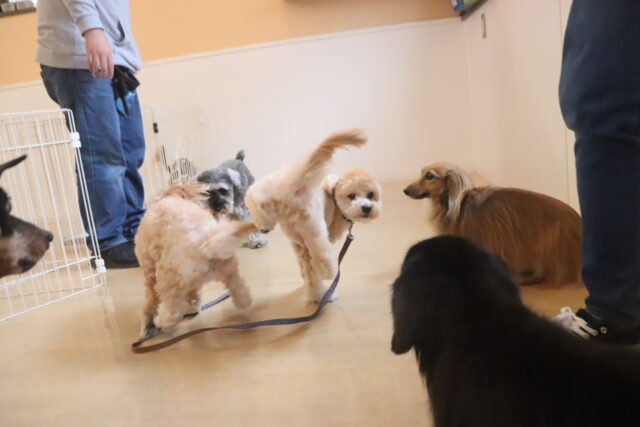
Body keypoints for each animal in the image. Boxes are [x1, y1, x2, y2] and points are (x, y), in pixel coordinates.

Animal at [135, 182, 257, 340]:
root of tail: (205, 244)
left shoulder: (150, 271)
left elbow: (150, 303)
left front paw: (148, 325)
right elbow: (192, 295)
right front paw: (192, 306)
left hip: (165, 279)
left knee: (172, 310)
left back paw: (162, 322)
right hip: (228, 272)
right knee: (239, 290)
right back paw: (243, 302)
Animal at [245, 129, 366, 302]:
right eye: (353, 195)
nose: (366, 208)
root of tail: (292, 185)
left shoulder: (301, 247)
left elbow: (308, 271)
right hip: (313, 226)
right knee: (322, 253)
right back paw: (329, 272)